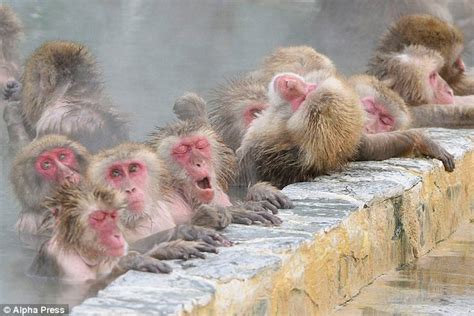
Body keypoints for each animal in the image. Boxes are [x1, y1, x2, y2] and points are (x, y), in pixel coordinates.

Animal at [29, 183, 172, 284]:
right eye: (99, 217)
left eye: (112, 216)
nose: (117, 235)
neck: (78, 250)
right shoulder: (67, 264)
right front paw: (133, 260)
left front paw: (167, 249)